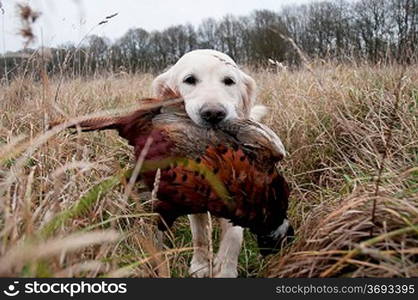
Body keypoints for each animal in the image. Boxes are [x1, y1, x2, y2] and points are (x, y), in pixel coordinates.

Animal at [153, 48, 268, 276]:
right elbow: (200, 234)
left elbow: (233, 237)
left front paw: (225, 270)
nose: (213, 114)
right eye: (189, 80)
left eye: (229, 81)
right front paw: (201, 266)